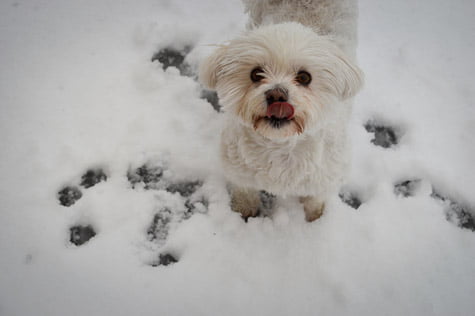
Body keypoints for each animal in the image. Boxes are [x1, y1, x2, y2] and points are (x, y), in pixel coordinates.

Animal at [201, 0, 364, 222]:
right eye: (256, 74)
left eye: (304, 77)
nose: (276, 95)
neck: (280, 145)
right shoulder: (239, 170)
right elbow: (245, 193)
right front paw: (244, 211)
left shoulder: (325, 177)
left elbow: (315, 201)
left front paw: (315, 220)